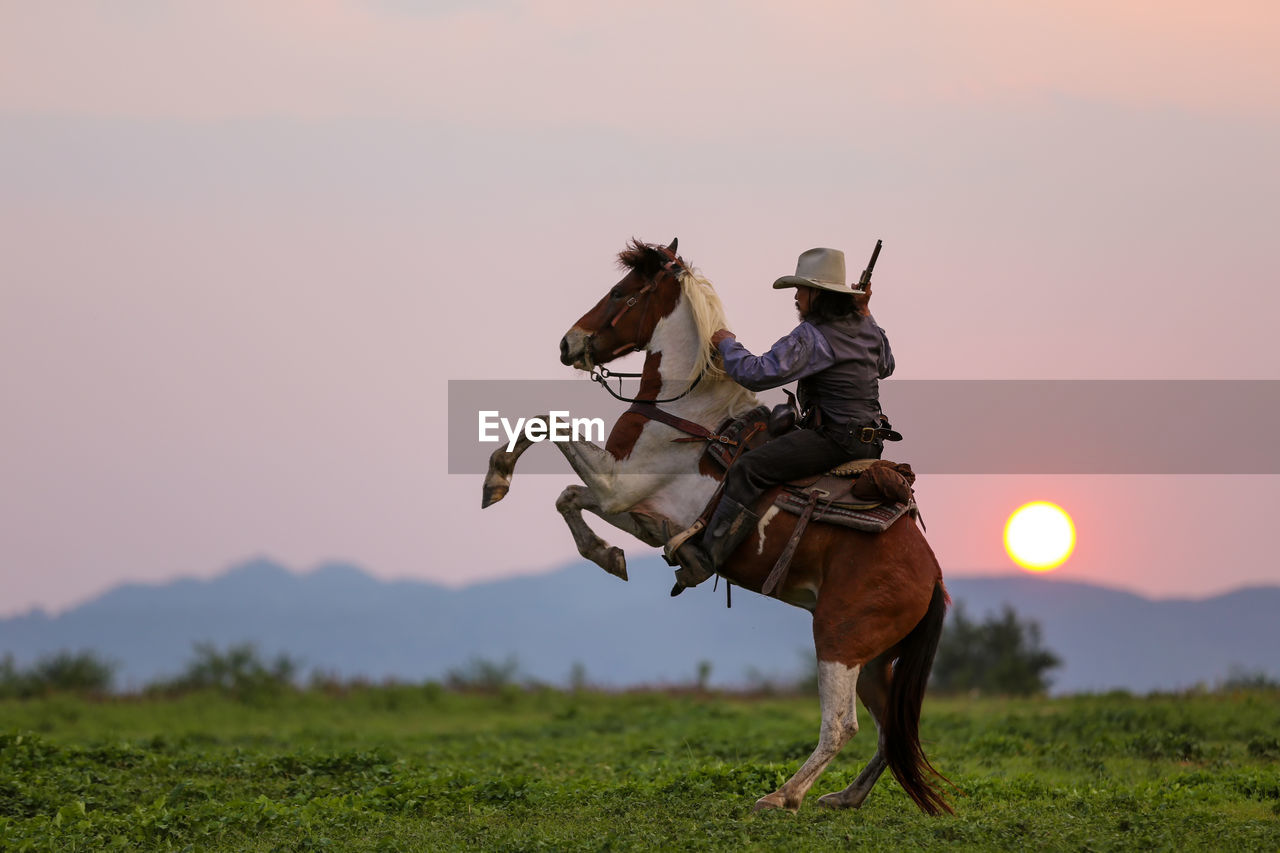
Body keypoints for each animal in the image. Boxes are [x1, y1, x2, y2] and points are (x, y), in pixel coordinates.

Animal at [481, 236, 952, 809]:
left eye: (620, 291)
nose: (568, 343)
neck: (688, 411)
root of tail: (932, 574)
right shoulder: (635, 507)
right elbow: (569, 498)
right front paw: (609, 556)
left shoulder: (617, 485)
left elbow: (545, 426)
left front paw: (497, 478)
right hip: (876, 659)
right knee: (892, 729)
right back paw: (844, 797)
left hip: (839, 639)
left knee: (843, 725)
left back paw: (782, 797)